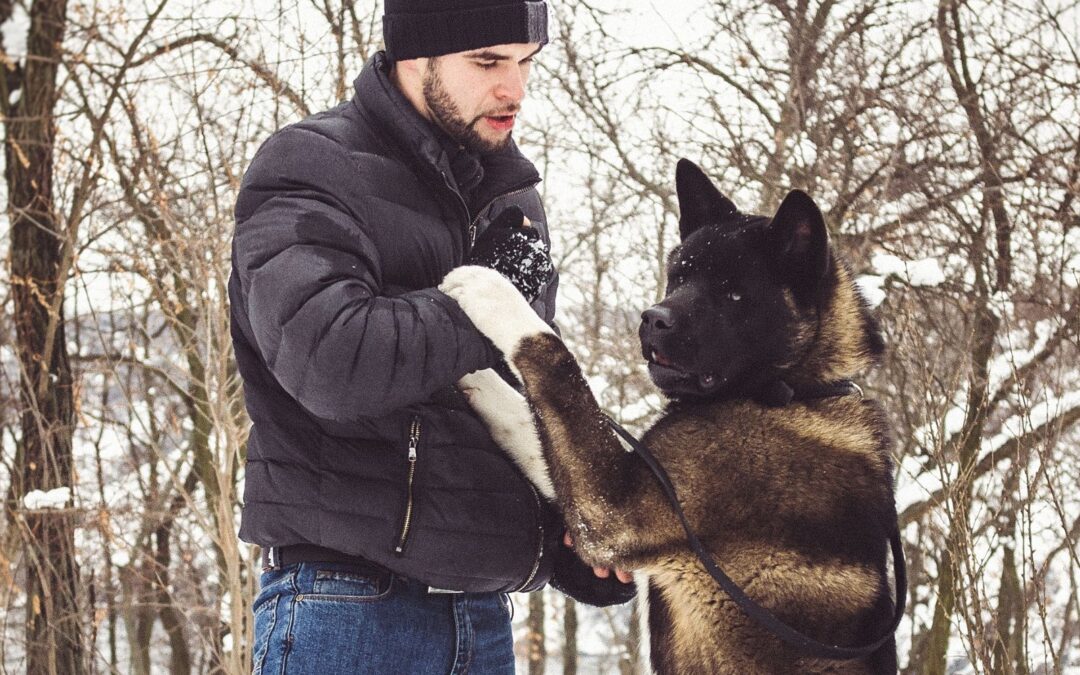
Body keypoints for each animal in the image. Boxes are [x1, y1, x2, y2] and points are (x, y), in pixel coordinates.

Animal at [438, 160, 902, 669]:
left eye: (734, 295)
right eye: (678, 277)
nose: (653, 319)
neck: (794, 390)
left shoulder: (614, 507)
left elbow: (553, 362)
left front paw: (489, 289)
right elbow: (524, 411)